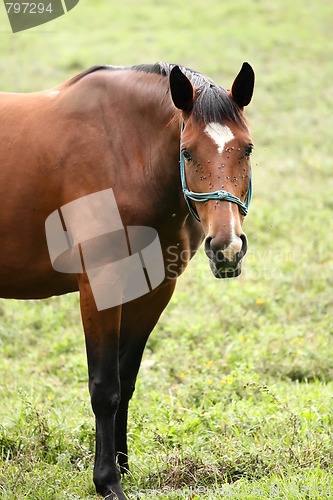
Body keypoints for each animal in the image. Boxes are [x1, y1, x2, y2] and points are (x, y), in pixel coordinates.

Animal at [0, 63, 254, 500]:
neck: (125, 154)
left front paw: (122, 466)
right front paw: (107, 481)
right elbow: (105, 387)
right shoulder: (99, 285)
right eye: (187, 152)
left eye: (248, 149)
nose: (227, 248)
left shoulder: (154, 288)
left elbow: (127, 380)